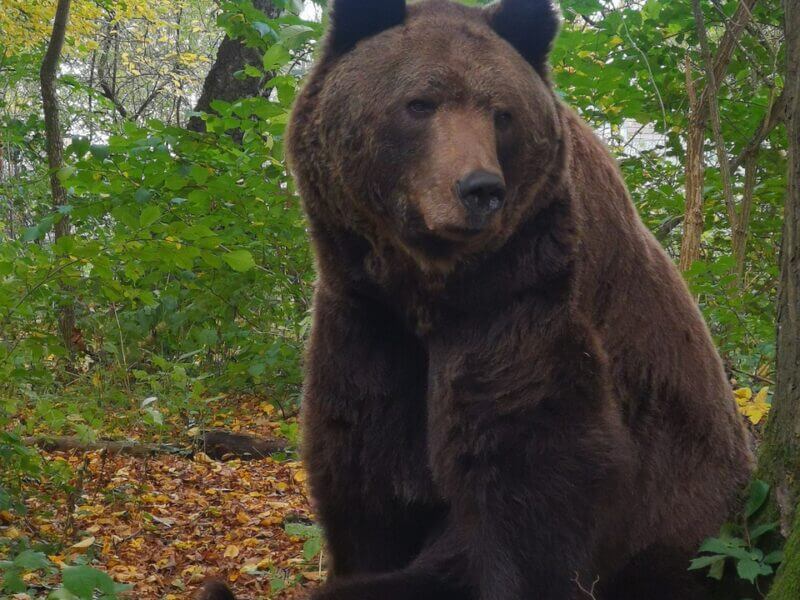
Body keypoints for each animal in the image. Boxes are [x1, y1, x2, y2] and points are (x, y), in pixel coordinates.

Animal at [201, 1, 754, 599]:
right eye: (419, 103)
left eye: (502, 113)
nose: (480, 189)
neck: (427, 286)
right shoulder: (364, 312)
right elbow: (361, 462)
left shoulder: (523, 300)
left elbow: (528, 475)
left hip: (696, 531)